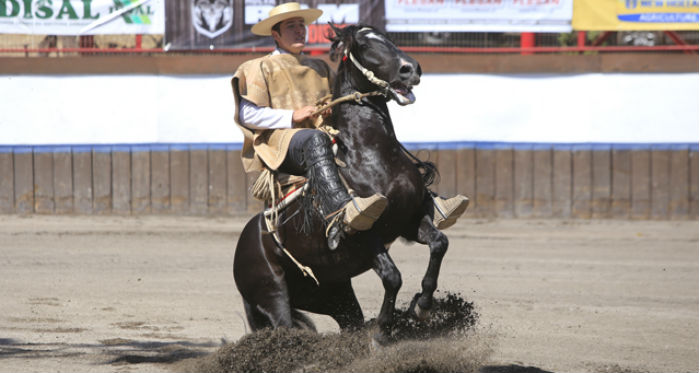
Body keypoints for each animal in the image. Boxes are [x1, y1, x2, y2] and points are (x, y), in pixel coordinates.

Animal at [232, 24, 452, 342]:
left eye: (388, 38)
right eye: (364, 45)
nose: (410, 69)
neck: (371, 154)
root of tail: (246, 241)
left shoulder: (410, 220)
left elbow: (439, 244)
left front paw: (421, 306)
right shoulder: (364, 235)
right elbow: (392, 277)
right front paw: (382, 329)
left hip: (334, 294)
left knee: (348, 318)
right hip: (272, 294)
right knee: (283, 323)